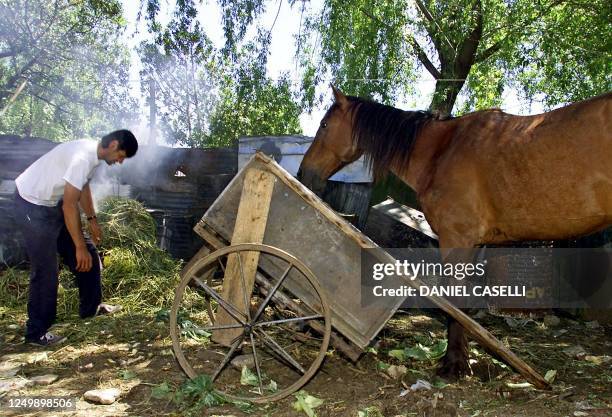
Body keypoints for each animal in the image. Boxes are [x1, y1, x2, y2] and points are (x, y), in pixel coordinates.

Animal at [298, 84, 612, 376]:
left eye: (324, 125)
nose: (304, 173)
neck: (443, 149)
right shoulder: (474, 245)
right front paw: (464, 357)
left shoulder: (456, 240)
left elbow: (455, 300)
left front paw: (453, 364)